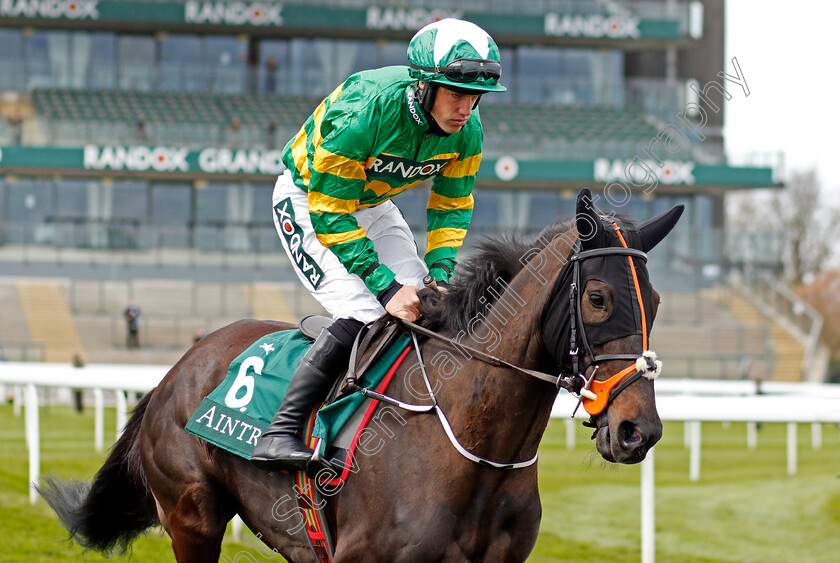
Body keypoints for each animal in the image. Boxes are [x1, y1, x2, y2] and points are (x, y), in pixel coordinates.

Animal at [39, 191, 684, 563]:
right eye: (598, 298)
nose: (640, 430)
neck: (474, 448)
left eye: (655, 302)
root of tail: (176, 370)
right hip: (191, 516)